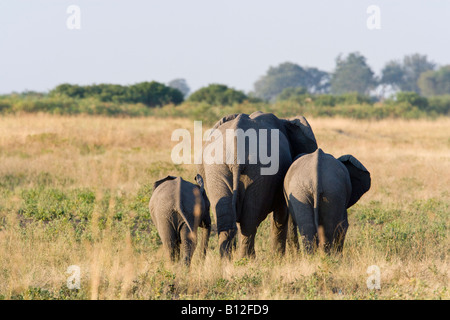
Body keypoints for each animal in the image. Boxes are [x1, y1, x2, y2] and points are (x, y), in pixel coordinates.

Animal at [197, 110, 316, 258]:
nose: (297, 256)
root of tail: (237, 148)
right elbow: (282, 214)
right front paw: (278, 259)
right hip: (257, 170)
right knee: (249, 221)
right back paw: (247, 260)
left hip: (218, 168)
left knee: (230, 220)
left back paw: (230, 260)